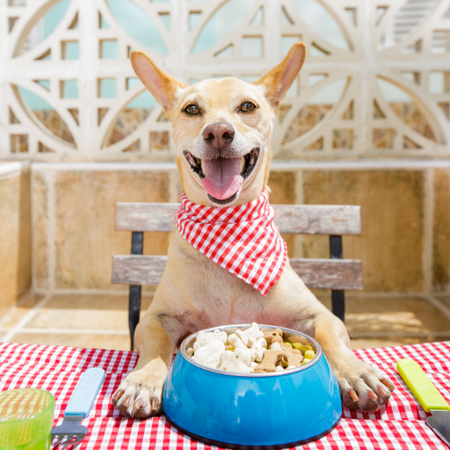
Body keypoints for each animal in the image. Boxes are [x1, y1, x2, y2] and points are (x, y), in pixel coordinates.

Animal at [111, 43, 394, 418]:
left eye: (247, 106)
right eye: (191, 109)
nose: (218, 132)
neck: (228, 229)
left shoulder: (320, 315)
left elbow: (331, 339)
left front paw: (355, 371)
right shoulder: (157, 317)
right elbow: (157, 344)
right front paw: (144, 379)